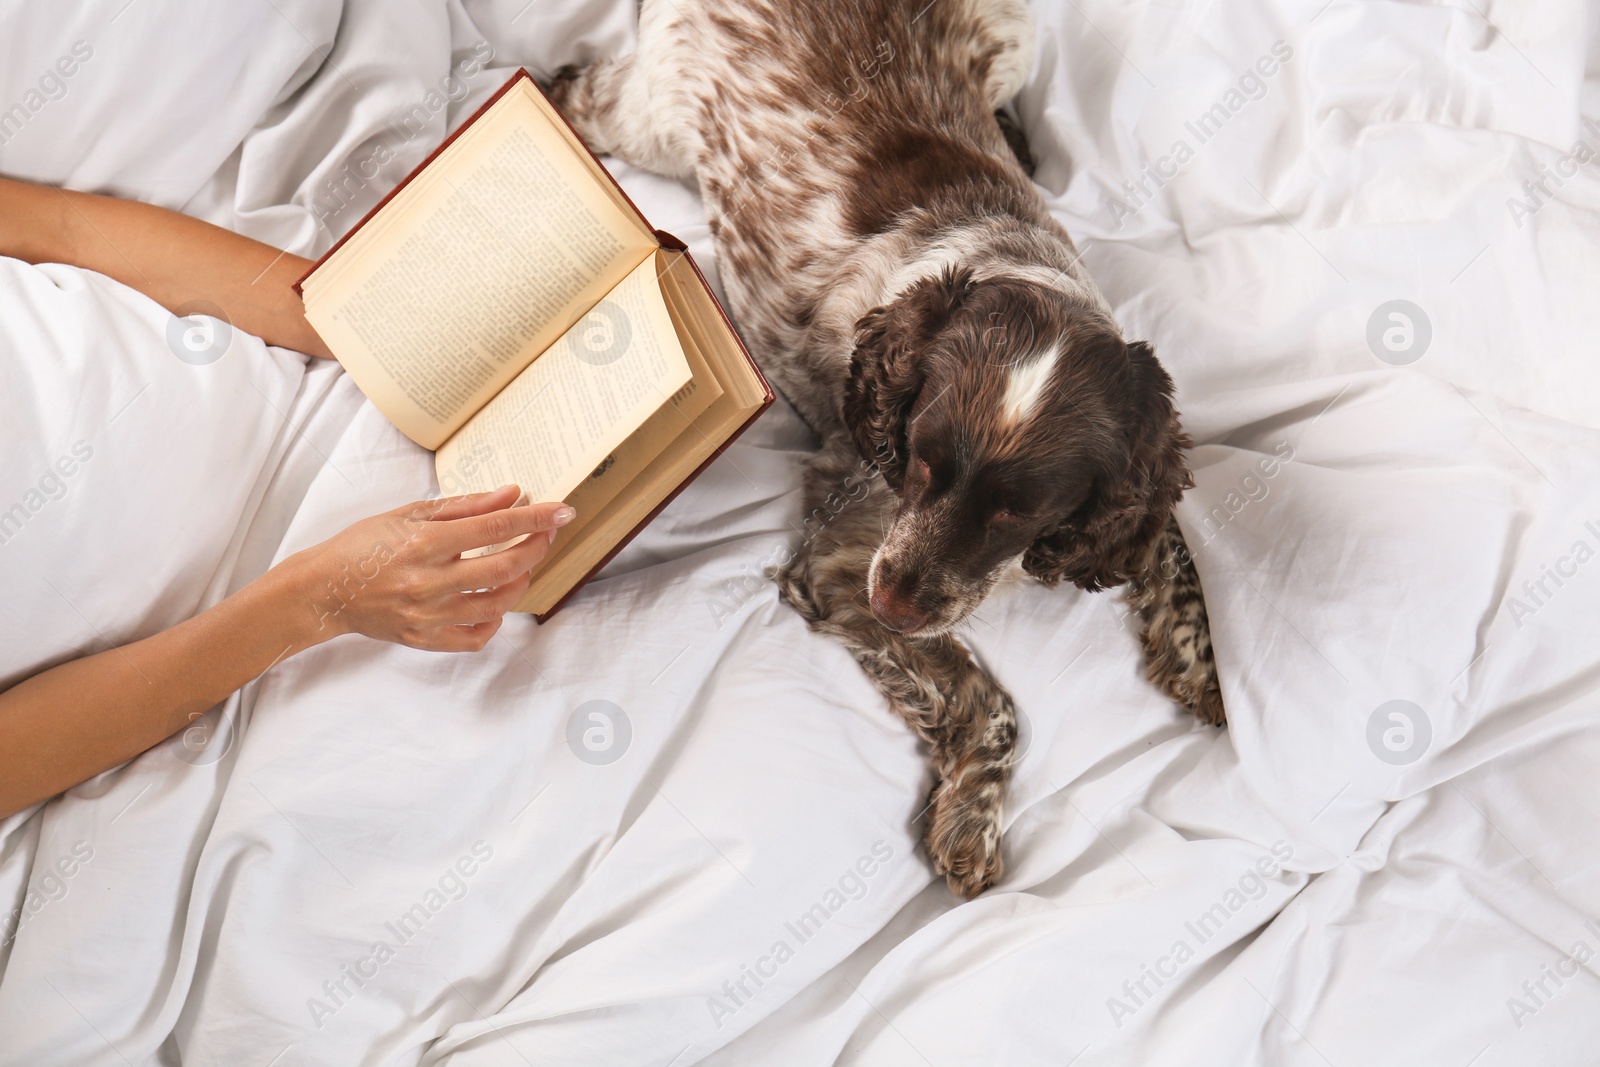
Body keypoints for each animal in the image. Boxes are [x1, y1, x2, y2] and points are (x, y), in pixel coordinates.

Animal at [544, 0, 1216, 902]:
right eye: (919, 459)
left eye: (1021, 511)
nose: (896, 603)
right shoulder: (841, 563)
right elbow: (991, 702)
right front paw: (970, 821)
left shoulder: (1124, 490)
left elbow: (1170, 543)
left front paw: (1204, 665)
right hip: (644, 117)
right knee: (575, 87)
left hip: (1015, 36)